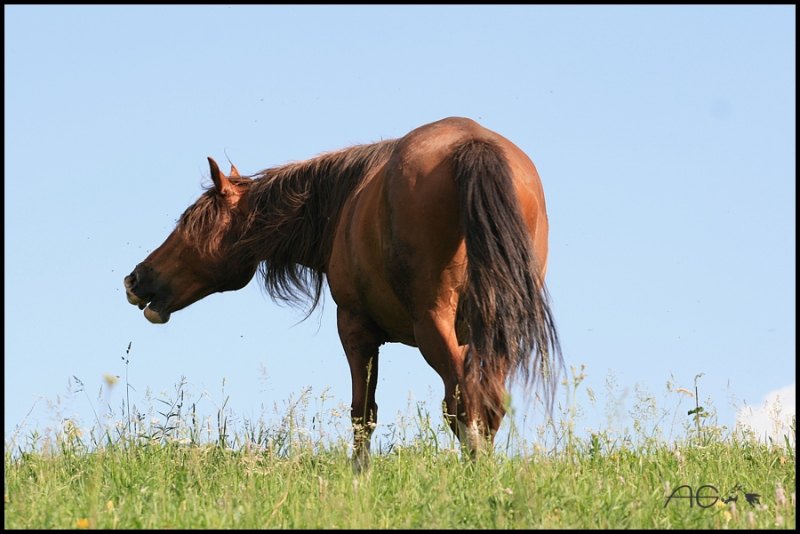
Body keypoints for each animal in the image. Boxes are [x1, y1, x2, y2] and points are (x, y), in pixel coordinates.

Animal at [123, 116, 564, 468]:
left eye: (188, 224)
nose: (135, 279)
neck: (343, 201)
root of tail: (471, 144)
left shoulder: (355, 329)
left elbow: (362, 413)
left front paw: (359, 475)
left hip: (432, 324)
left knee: (462, 400)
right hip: (500, 329)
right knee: (487, 401)